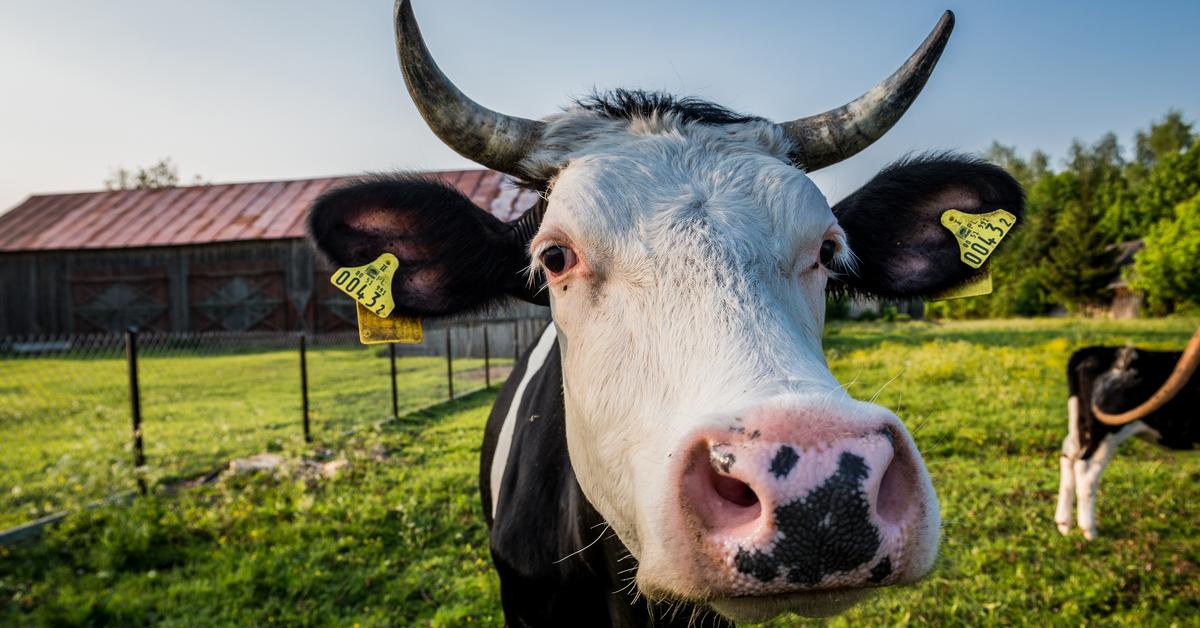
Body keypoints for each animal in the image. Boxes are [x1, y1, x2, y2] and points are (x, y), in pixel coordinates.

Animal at [1056, 331, 1195, 542]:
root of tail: (1090, 352)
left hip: (1078, 425)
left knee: (1068, 458)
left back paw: (1064, 524)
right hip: (1105, 431)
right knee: (1085, 470)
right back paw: (1089, 530)